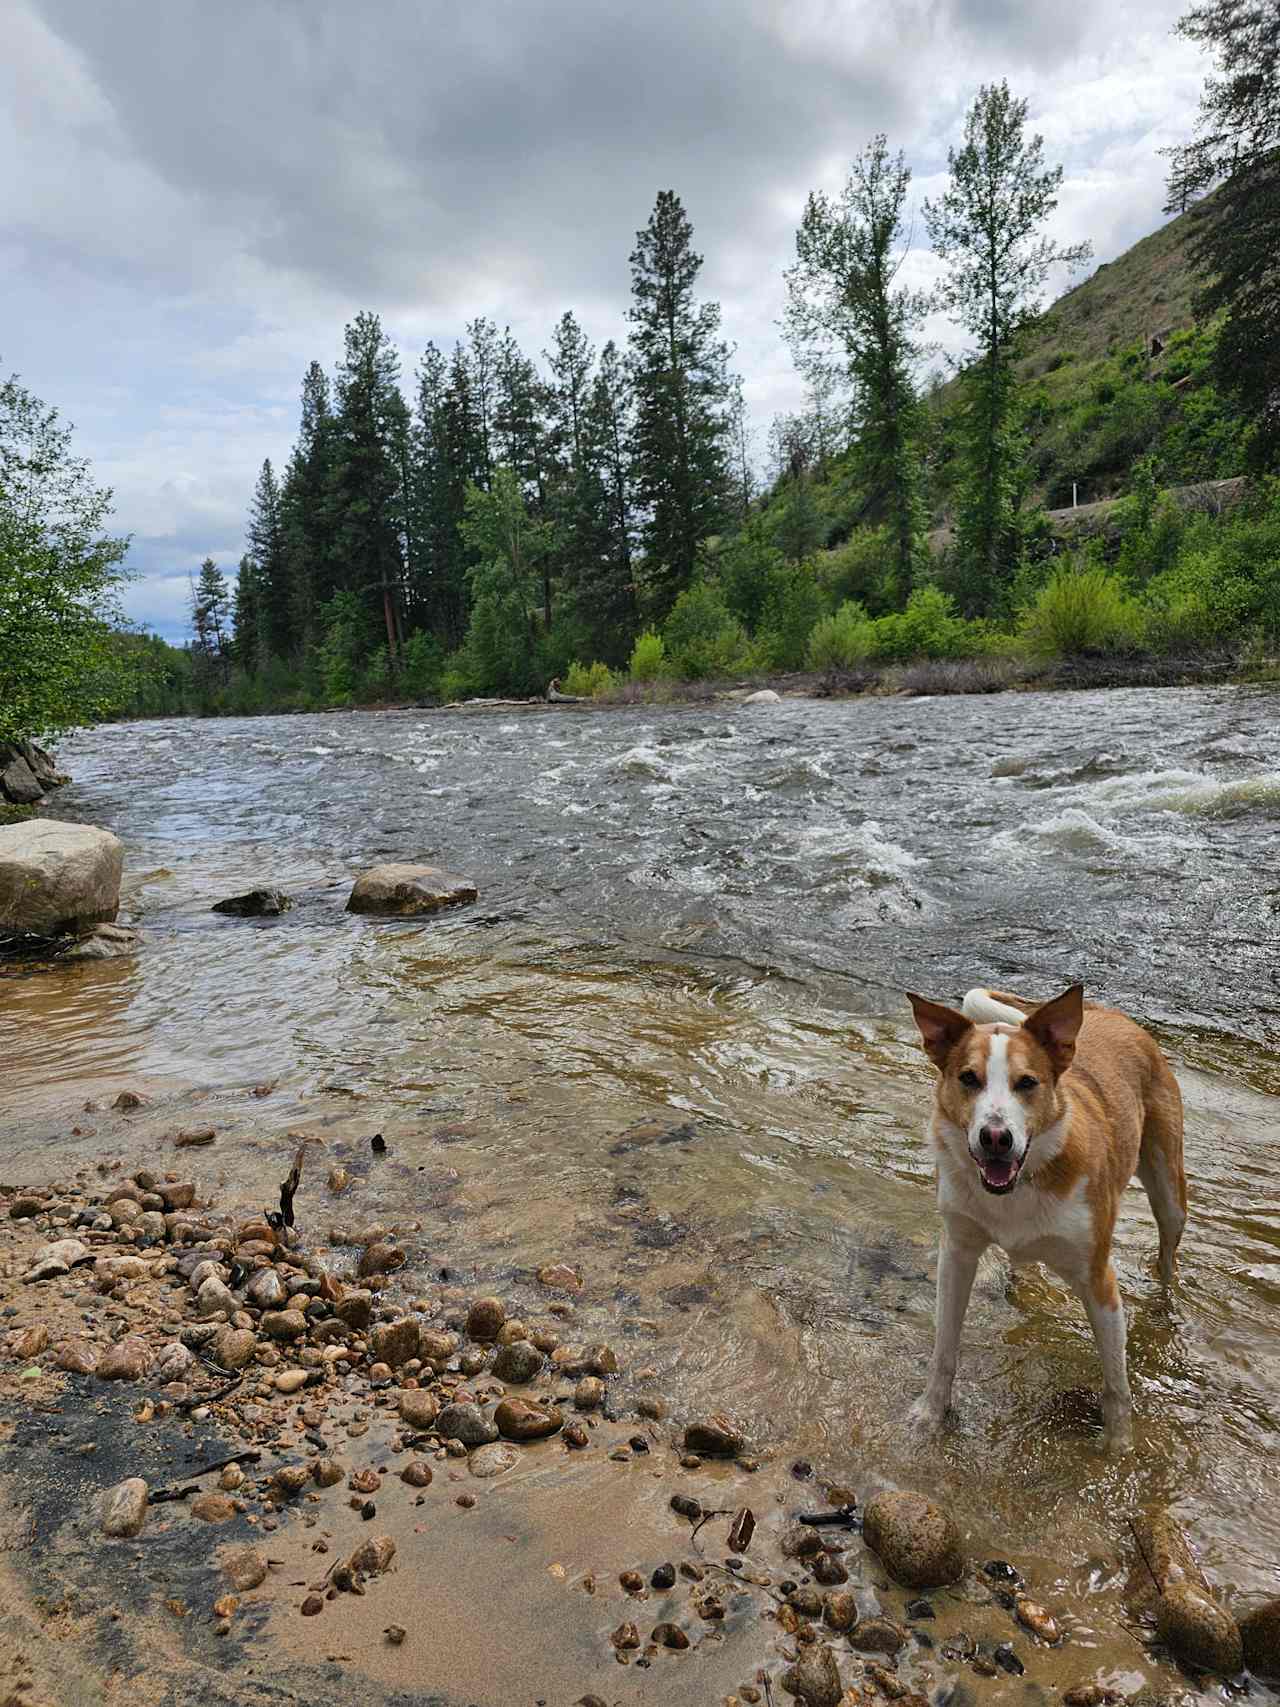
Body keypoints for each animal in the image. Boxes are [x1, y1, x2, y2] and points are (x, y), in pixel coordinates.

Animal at [907, 983, 1187, 1447]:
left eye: (1027, 1083)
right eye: (968, 1079)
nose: (996, 1138)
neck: (1022, 1183)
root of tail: (1107, 1012)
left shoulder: (1099, 1279)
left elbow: (1116, 1384)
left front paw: (1119, 1449)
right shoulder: (957, 1252)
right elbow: (943, 1348)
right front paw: (930, 1414)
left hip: (1170, 1191)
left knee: (1167, 1256)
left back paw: (1165, 1307)